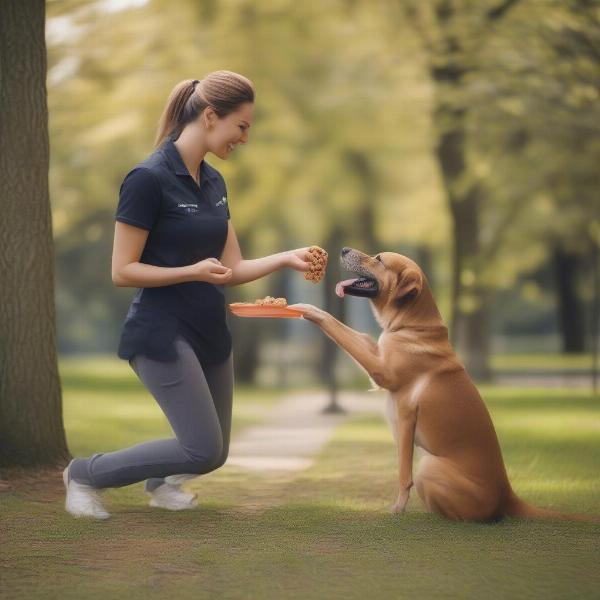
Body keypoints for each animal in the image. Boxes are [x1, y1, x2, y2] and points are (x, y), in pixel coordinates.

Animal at [290, 247, 592, 520]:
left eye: (379, 259)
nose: (342, 249)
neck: (412, 325)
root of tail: (508, 494)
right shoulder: (374, 350)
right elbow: (352, 333)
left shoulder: (387, 384)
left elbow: (403, 474)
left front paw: (398, 508)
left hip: (429, 465)